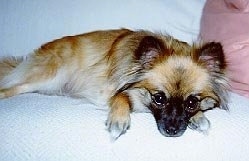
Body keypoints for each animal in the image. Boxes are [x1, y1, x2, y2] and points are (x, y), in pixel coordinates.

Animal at [0, 28, 230, 138]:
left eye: (192, 103)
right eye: (158, 98)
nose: (172, 130)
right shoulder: (112, 91)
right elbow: (120, 96)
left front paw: (199, 118)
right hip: (49, 75)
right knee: (10, 87)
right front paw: (118, 120)